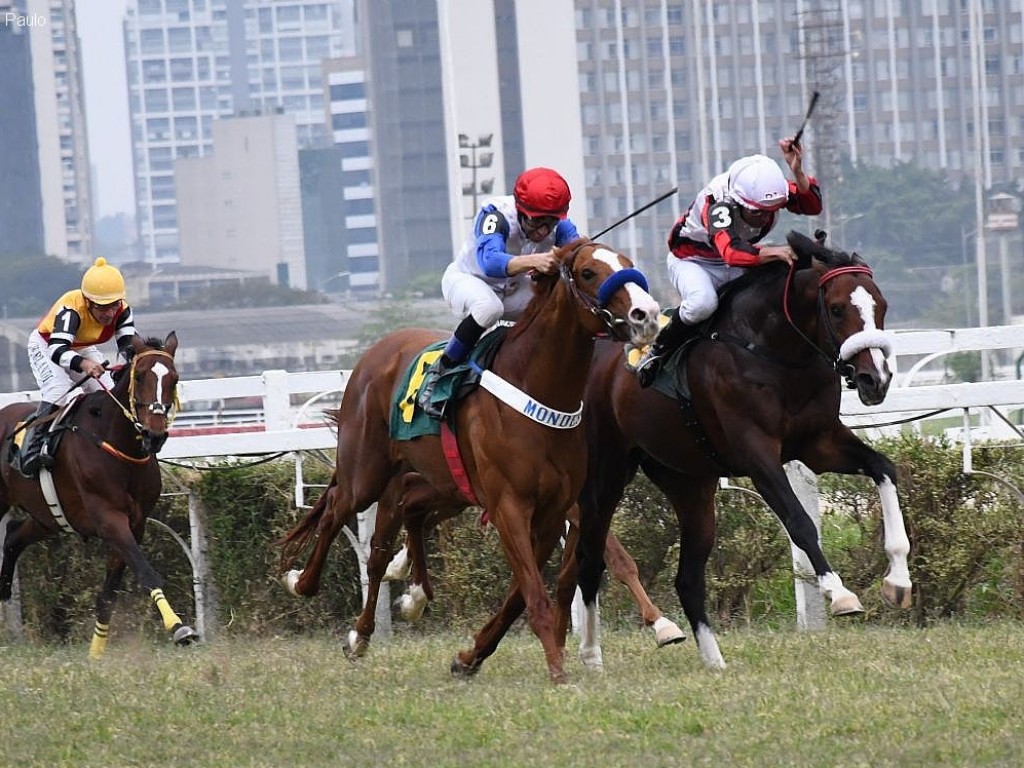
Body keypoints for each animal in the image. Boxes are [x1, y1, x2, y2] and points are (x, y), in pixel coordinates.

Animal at [0, 333, 197, 659]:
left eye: (175, 378)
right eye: (140, 376)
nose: (155, 435)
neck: (117, 442)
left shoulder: (135, 523)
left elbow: (108, 594)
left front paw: (96, 653)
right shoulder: (108, 518)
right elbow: (146, 572)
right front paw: (179, 627)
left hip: (48, 516)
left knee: (14, 535)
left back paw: (3, 592)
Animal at [276, 237, 659, 684]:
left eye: (628, 263)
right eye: (587, 272)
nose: (647, 314)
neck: (537, 389)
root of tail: (377, 350)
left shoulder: (551, 512)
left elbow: (521, 594)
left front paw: (470, 656)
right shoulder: (510, 506)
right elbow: (535, 592)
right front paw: (558, 672)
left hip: (445, 485)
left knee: (400, 523)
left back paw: (395, 610)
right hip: (366, 472)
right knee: (340, 513)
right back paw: (309, 589)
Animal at [569, 231, 913, 671]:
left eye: (881, 306)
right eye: (837, 309)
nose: (876, 379)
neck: (774, 353)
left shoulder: (819, 443)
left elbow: (883, 467)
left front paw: (898, 580)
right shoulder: (756, 453)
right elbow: (800, 521)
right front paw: (839, 593)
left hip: (689, 485)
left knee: (687, 579)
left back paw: (714, 662)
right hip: (606, 477)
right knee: (590, 559)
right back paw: (592, 655)